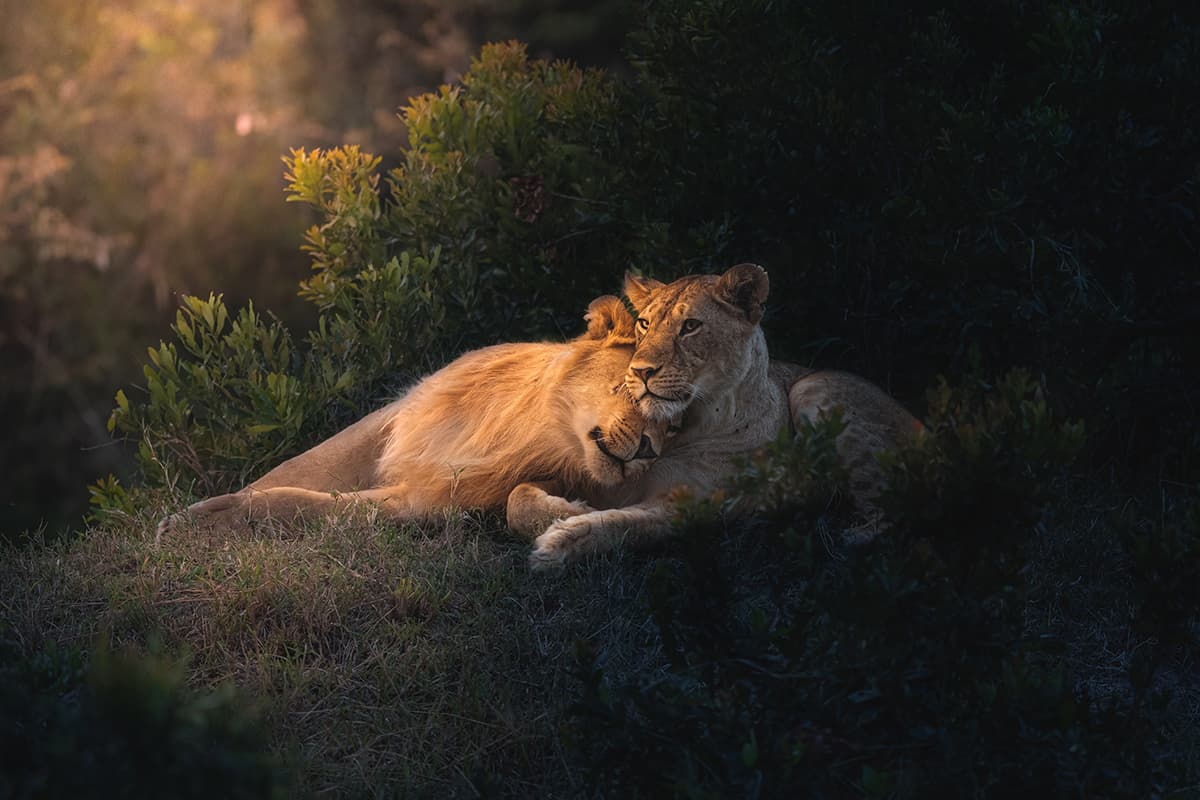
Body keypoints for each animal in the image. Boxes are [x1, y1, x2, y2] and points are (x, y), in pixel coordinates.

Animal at [157, 295, 675, 539]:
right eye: (640, 383)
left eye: (675, 419)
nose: (650, 448)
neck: (539, 429)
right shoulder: (398, 418)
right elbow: (297, 469)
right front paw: (191, 519)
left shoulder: (434, 497)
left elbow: (311, 504)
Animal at [524, 263, 922, 569]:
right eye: (645, 325)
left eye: (690, 327)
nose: (639, 371)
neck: (690, 423)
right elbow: (520, 494)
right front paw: (563, 511)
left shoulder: (691, 508)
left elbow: (626, 525)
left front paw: (561, 541)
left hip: (813, 387)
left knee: (898, 508)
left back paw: (847, 536)